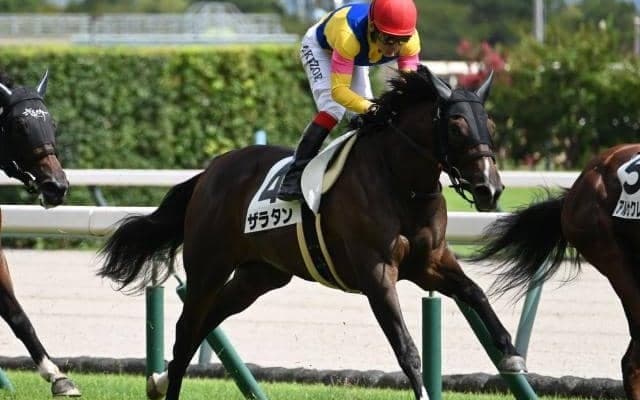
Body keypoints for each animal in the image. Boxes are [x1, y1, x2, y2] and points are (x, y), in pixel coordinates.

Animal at [97, 65, 526, 400]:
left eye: (489, 124)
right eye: (456, 126)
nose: (490, 188)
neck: (399, 181)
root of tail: (209, 172)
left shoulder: (430, 261)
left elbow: (474, 291)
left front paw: (510, 352)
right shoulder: (376, 272)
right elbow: (406, 347)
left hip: (260, 275)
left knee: (210, 318)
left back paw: (159, 379)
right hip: (208, 266)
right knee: (188, 328)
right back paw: (165, 385)